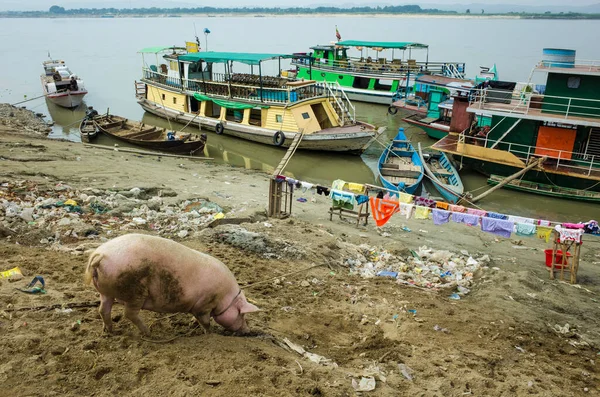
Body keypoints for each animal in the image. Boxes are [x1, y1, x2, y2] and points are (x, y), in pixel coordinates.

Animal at [85, 232, 260, 334]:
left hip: (106, 291)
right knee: (129, 313)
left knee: (103, 310)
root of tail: (100, 255)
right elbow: (205, 321)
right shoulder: (204, 304)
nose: (248, 331)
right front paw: (210, 333)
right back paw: (148, 333)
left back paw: (109, 332)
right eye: (242, 314)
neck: (225, 298)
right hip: (134, 291)